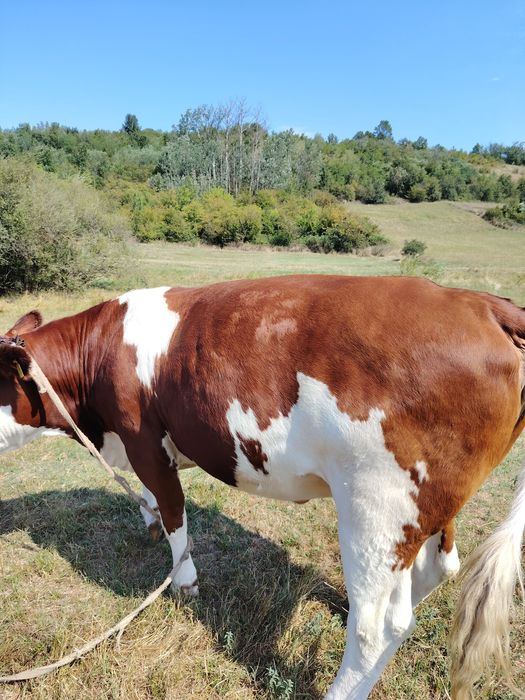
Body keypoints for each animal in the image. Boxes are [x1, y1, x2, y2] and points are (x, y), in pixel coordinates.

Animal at [0, 274, 524, 700]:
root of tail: (482, 304)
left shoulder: (145, 442)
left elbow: (174, 513)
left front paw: (184, 580)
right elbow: (154, 503)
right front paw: (147, 522)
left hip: (377, 504)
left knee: (377, 629)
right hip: (429, 502)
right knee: (435, 571)